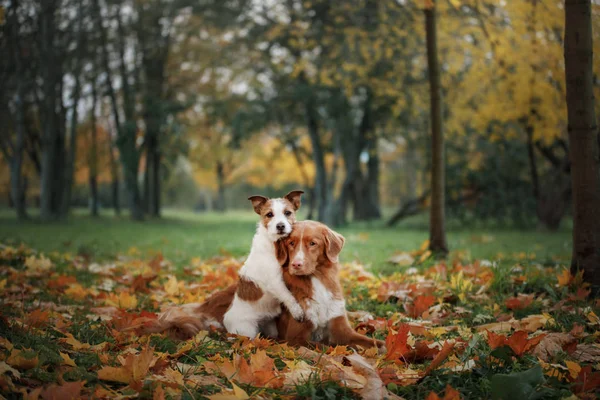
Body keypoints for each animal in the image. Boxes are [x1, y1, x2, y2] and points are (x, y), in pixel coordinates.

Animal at [224, 191, 308, 338]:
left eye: (288, 213)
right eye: (269, 214)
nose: (280, 226)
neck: (275, 245)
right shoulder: (275, 282)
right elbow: (288, 296)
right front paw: (297, 312)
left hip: (270, 327)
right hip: (247, 330)